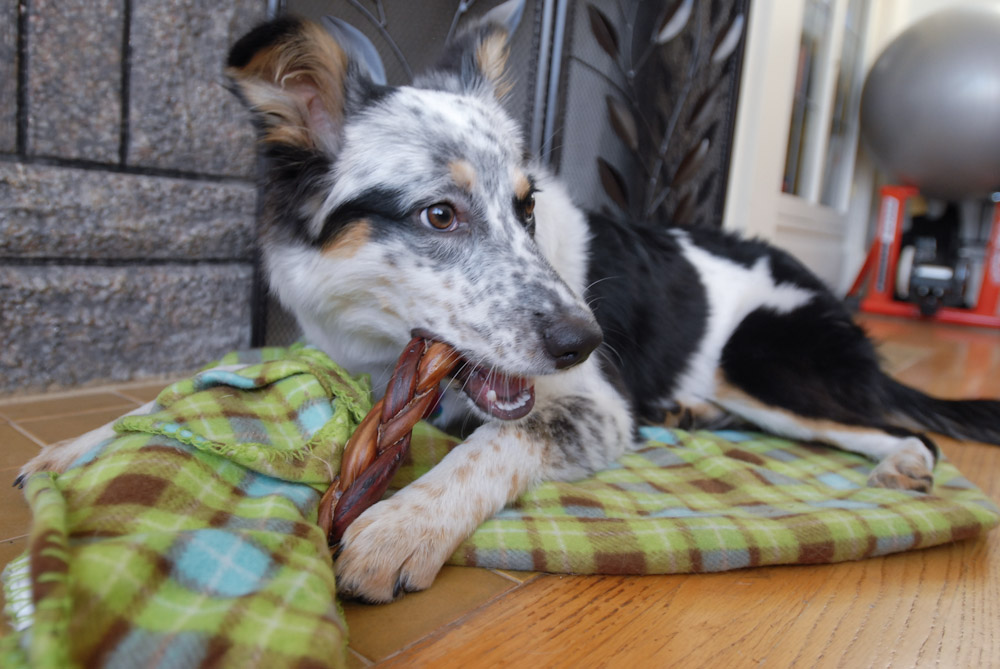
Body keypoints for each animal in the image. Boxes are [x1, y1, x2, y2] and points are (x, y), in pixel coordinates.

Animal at [22, 2, 1000, 604]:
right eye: (439, 214)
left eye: (526, 206)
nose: (584, 338)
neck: (381, 349)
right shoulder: (317, 345)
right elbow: (207, 380)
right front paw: (81, 444)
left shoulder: (593, 408)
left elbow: (492, 444)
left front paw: (400, 524)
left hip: (764, 357)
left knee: (899, 427)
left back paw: (899, 465)